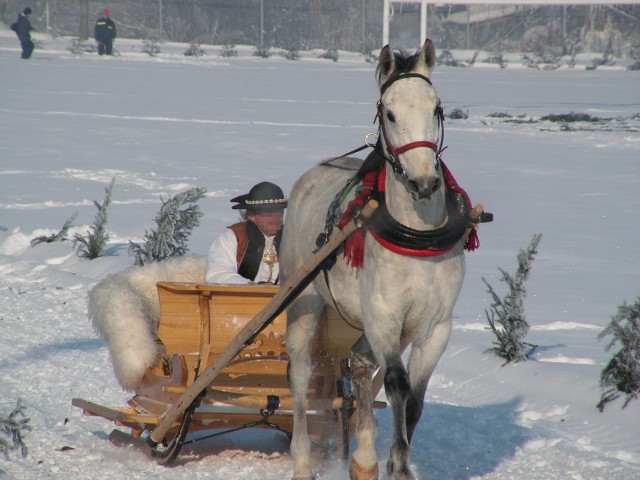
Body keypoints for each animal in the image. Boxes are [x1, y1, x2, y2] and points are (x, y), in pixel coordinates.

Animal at [282, 38, 468, 480]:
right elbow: (398, 383)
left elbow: (414, 399)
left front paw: (390, 459)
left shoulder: (436, 326)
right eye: (390, 112)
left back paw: (363, 455)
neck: (417, 235)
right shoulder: (384, 315)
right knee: (299, 374)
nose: (424, 181)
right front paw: (398, 464)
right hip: (302, 300)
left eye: (436, 108)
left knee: (361, 363)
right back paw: (302, 460)